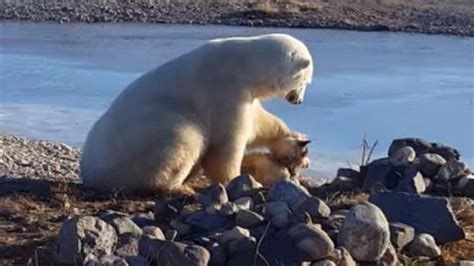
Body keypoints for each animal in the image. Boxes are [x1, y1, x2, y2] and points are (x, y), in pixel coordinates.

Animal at [79, 33, 312, 193]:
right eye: (306, 81)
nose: (299, 101)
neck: (245, 65)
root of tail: (89, 173)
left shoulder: (246, 96)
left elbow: (260, 124)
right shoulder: (225, 90)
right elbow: (225, 146)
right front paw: (238, 179)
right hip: (145, 137)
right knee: (184, 137)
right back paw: (179, 187)